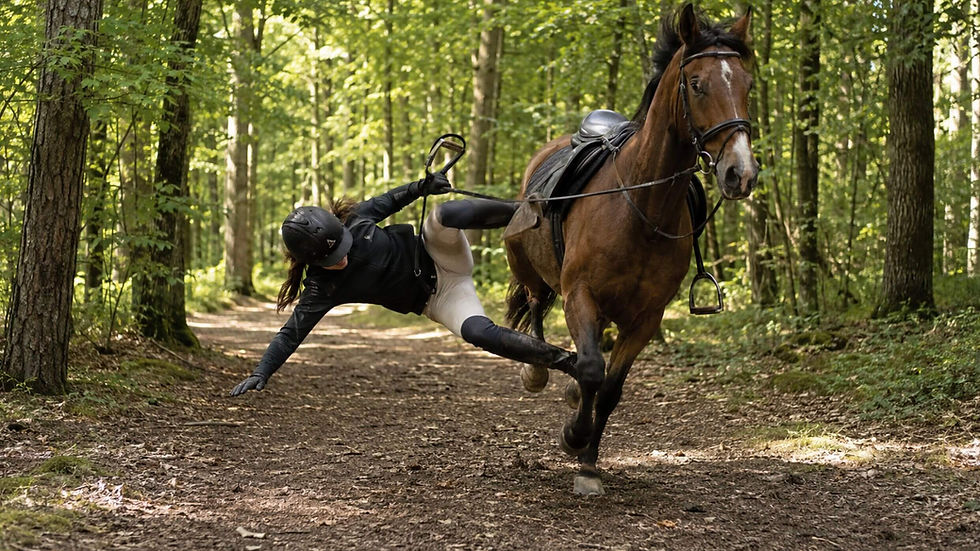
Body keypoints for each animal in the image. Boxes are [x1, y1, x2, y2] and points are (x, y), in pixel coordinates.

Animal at [503, 4, 758, 496]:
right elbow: (590, 369)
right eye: (696, 83)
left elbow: (609, 388)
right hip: (531, 269)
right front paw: (574, 438)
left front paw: (588, 461)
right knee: (536, 303)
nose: (742, 173)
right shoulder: (579, 294)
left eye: (747, 84)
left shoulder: (647, 317)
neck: (642, 207)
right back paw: (538, 370)